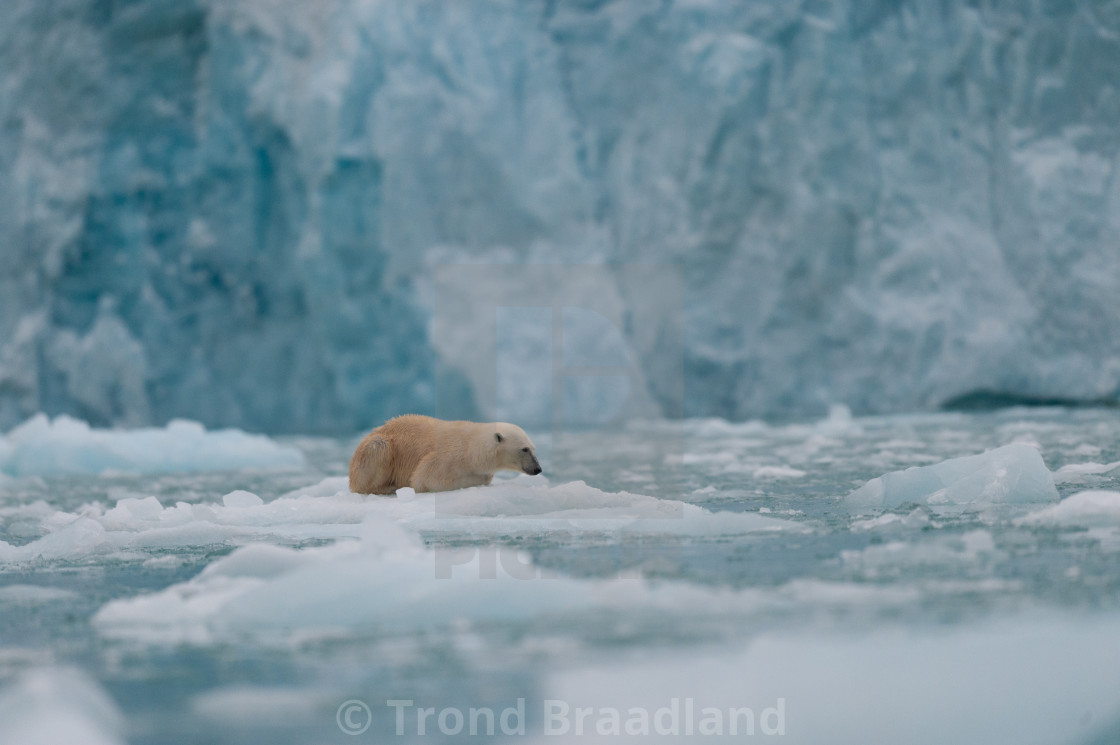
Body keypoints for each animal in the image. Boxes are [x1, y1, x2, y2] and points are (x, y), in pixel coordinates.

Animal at [349, 412, 542, 492]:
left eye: (533, 448)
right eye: (524, 449)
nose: (538, 469)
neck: (472, 447)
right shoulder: (448, 457)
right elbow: (424, 479)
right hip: (380, 446)